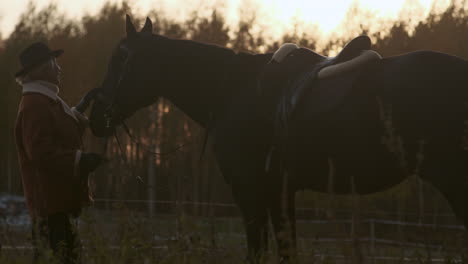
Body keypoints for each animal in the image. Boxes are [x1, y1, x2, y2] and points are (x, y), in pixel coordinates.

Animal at [80, 16, 468, 262]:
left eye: (121, 59)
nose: (96, 117)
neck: (232, 91)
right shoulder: (280, 191)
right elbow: (285, 250)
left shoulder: (249, 189)